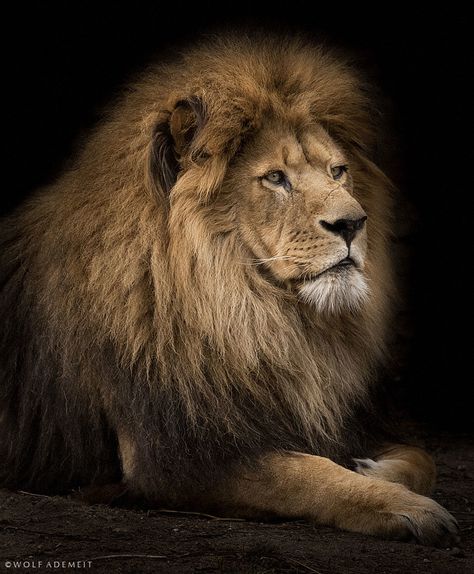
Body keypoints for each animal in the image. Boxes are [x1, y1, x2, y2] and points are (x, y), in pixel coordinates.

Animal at [0, 33, 460, 548]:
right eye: (276, 177)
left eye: (338, 171)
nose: (352, 223)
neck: (251, 315)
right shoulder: (173, 458)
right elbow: (307, 475)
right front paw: (407, 508)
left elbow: (424, 458)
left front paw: (374, 469)